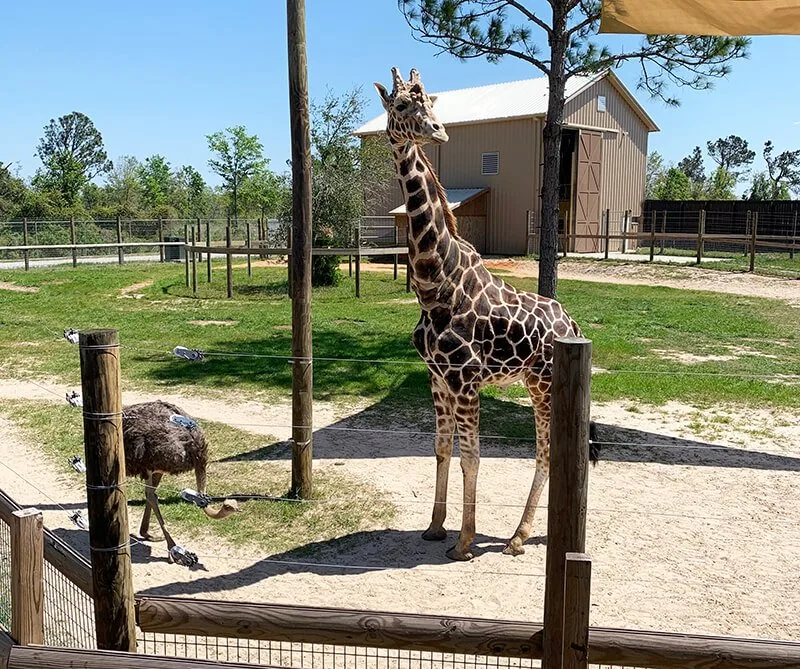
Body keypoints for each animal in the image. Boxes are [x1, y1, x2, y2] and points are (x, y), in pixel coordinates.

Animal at [376, 68, 588, 560]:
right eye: (400, 105)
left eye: (429, 102)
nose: (438, 131)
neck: (435, 286)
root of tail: (572, 323)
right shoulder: (436, 378)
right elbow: (441, 449)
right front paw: (435, 527)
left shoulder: (465, 380)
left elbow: (472, 456)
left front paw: (465, 541)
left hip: (542, 384)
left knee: (546, 451)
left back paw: (518, 537)